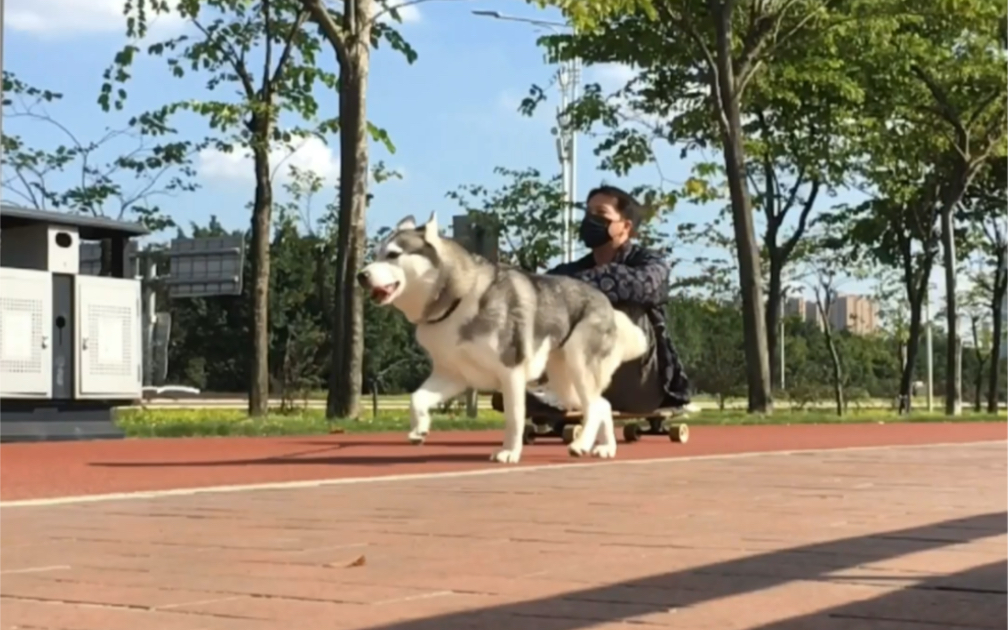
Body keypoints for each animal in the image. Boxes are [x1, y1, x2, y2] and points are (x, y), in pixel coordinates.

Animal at [358, 213, 649, 463]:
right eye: (377, 255)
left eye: (393, 255)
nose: (361, 275)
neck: (458, 298)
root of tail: (608, 304)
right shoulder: (452, 375)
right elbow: (416, 398)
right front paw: (419, 429)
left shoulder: (511, 373)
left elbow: (514, 418)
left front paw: (509, 452)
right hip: (565, 384)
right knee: (603, 406)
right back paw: (606, 447)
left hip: (579, 366)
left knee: (595, 408)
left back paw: (581, 444)